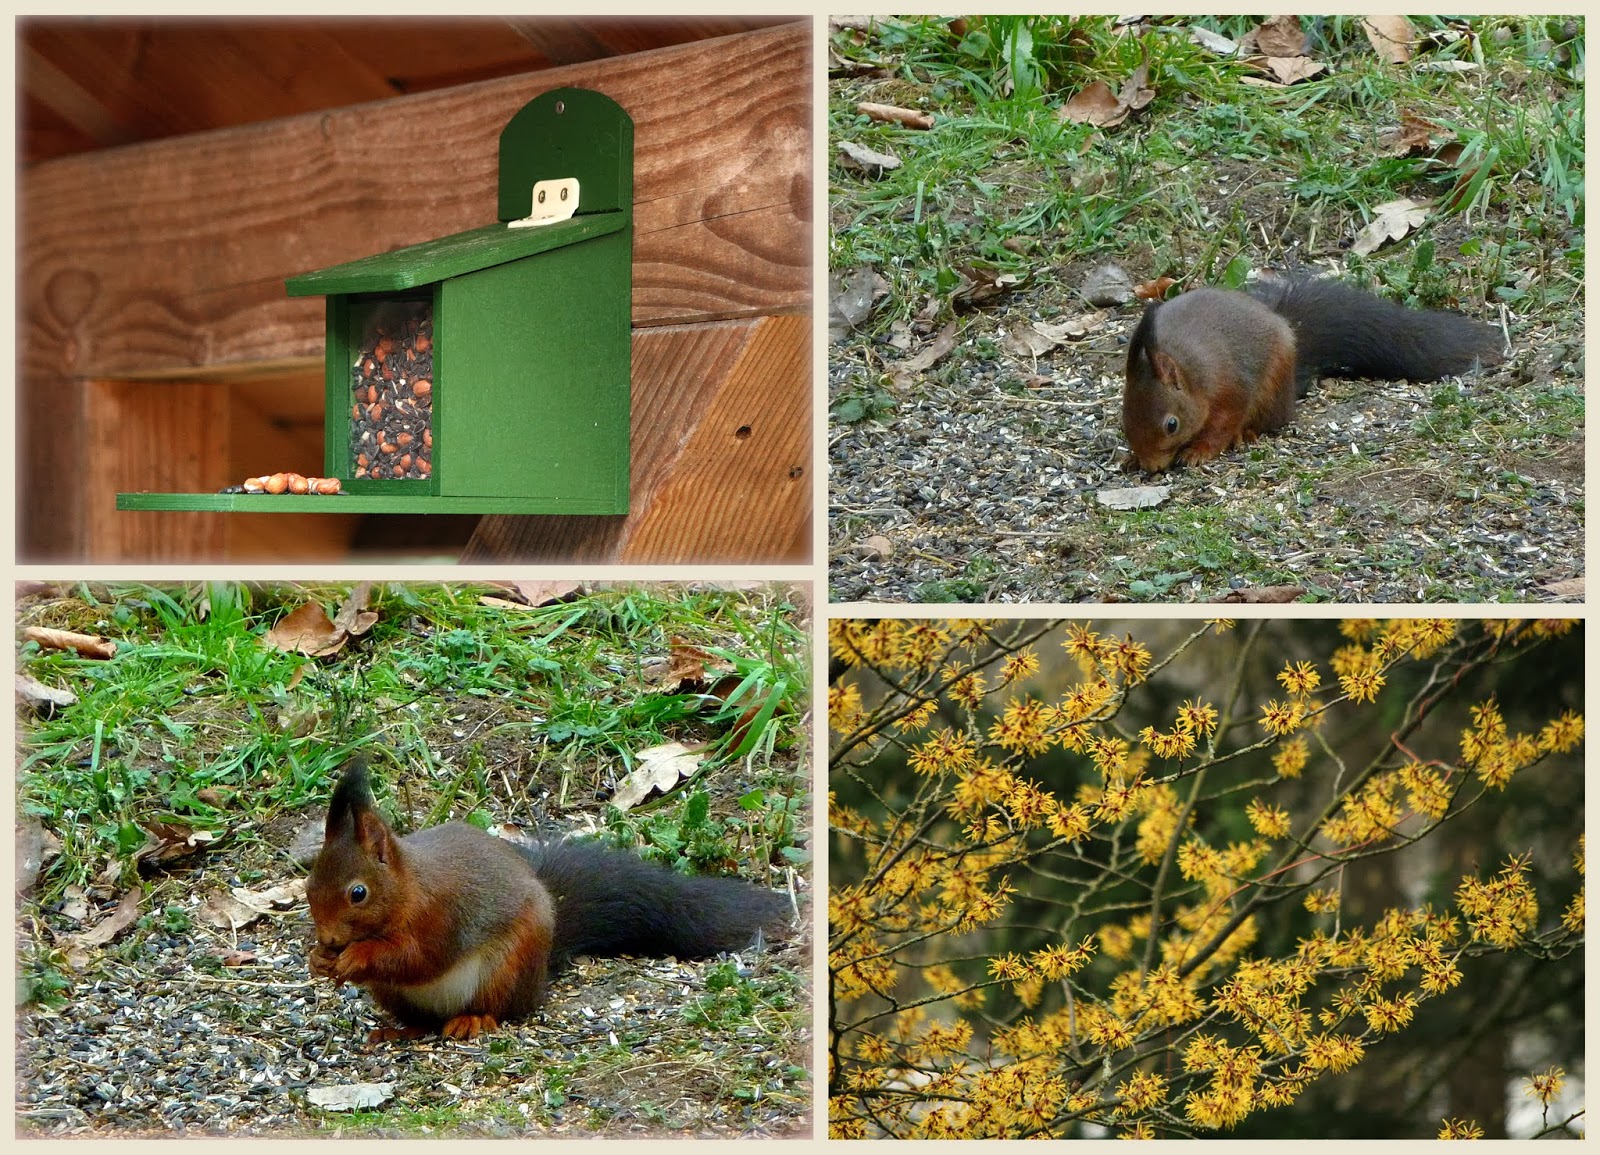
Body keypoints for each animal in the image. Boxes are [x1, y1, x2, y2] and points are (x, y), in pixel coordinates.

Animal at [302, 761, 790, 1036]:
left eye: (358, 893)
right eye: (307, 887)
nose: (328, 940)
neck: (407, 890)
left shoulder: (442, 915)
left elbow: (417, 957)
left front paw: (356, 956)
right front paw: (318, 960)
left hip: (508, 967)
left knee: (504, 1009)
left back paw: (474, 1020)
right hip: (397, 997)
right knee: (421, 1022)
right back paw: (398, 1032)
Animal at [1120, 276, 1504, 470]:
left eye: (1171, 425)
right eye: (1124, 420)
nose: (1152, 468)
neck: (1191, 373)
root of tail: (1283, 324)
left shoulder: (1231, 390)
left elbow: (1223, 424)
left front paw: (1200, 451)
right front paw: (1131, 458)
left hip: (1274, 384)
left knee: (1273, 419)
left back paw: (1249, 433)